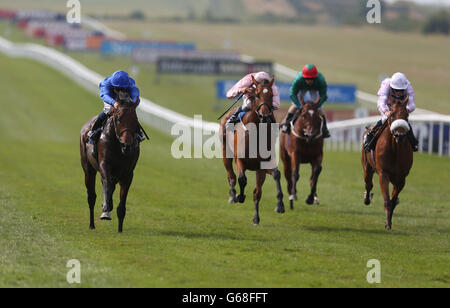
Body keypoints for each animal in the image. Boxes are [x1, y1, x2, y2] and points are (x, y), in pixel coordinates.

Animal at [78, 92, 139, 232]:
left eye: (135, 120)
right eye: (118, 118)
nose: (127, 145)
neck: (118, 147)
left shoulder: (128, 173)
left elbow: (121, 205)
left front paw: (120, 229)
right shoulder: (104, 166)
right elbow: (106, 185)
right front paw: (106, 209)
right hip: (88, 169)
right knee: (91, 196)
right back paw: (92, 224)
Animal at [219, 74, 284, 224]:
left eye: (271, 95)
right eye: (257, 94)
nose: (264, 115)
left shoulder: (262, 166)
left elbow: (265, 185)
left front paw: (277, 207)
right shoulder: (240, 160)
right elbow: (242, 179)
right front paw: (240, 196)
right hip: (226, 153)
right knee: (231, 176)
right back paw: (232, 195)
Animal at [362, 98, 414, 229]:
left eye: (406, 115)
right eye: (391, 115)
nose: (400, 135)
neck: (395, 150)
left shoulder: (401, 178)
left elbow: (393, 200)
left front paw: (389, 221)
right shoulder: (383, 174)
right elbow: (387, 200)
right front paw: (387, 224)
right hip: (367, 168)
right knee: (368, 184)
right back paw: (367, 198)